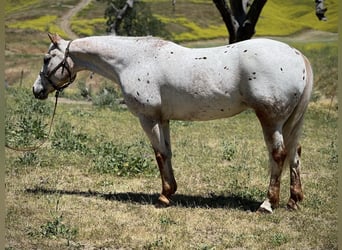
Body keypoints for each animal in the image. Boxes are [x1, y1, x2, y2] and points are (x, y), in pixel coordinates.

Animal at [32, 33, 312, 213]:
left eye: (46, 59)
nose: (37, 90)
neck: (133, 59)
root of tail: (297, 55)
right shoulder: (163, 118)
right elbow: (167, 152)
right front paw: (171, 191)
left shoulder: (148, 118)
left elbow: (159, 154)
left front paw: (164, 196)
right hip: (291, 122)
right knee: (294, 153)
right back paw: (294, 200)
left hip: (271, 120)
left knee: (278, 155)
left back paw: (268, 204)